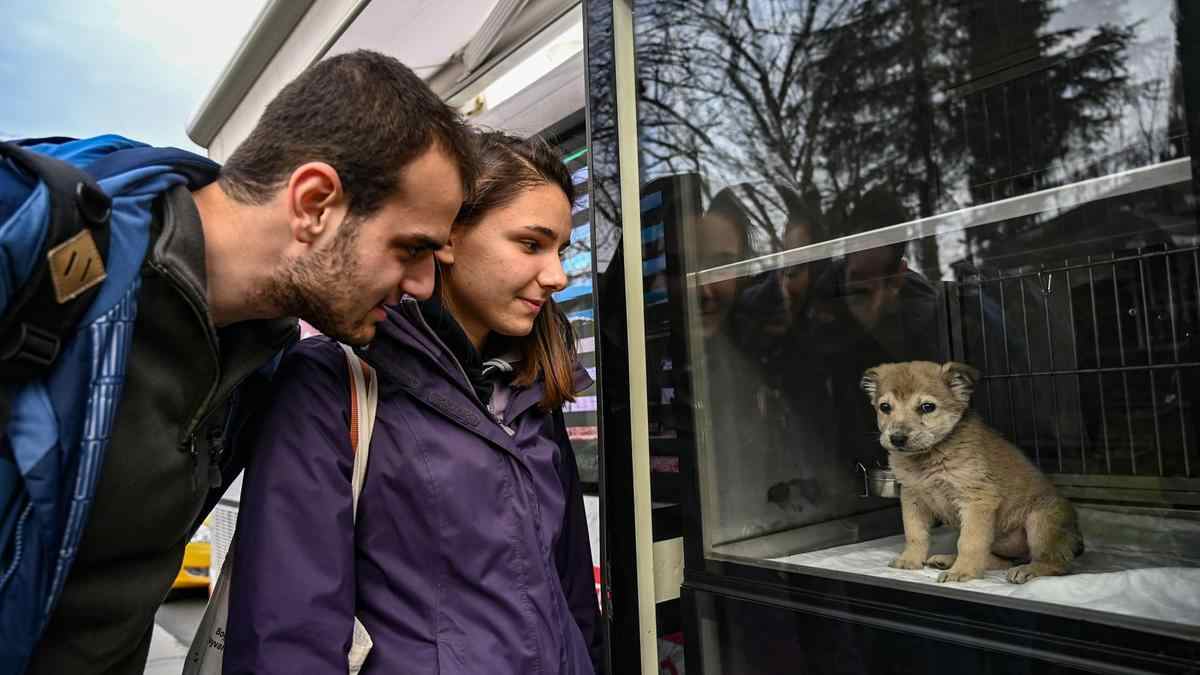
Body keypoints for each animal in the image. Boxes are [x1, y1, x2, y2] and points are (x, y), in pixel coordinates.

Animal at [859, 360, 1084, 581]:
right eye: (885, 407)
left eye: (927, 407)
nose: (896, 439)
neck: (928, 457)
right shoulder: (913, 498)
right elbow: (915, 534)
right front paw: (910, 560)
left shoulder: (976, 500)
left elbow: (969, 542)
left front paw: (962, 572)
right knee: (1001, 561)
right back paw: (947, 560)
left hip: (1040, 522)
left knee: (1055, 564)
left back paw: (1028, 570)